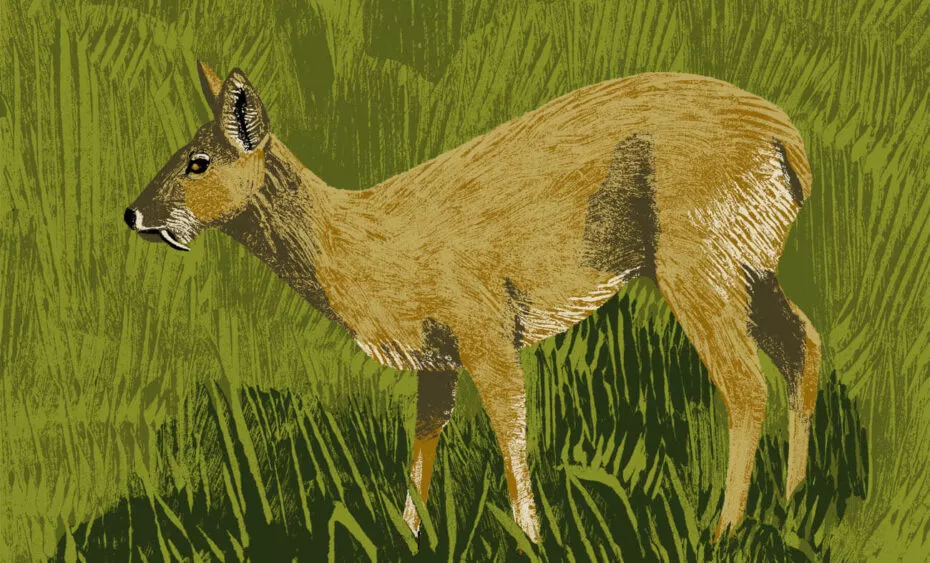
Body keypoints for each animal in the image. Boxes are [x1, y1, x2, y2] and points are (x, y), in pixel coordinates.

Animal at [125, 61, 821, 544]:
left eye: (197, 161)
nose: (132, 213)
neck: (366, 252)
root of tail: (791, 143)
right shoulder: (438, 357)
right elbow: (423, 443)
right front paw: (408, 535)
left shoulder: (484, 323)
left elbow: (511, 432)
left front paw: (531, 538)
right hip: (748, 258)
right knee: (803, 343)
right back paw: (792, 500)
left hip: (697, 253)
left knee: (745, 382)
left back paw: (723, 530)